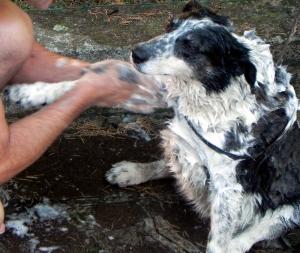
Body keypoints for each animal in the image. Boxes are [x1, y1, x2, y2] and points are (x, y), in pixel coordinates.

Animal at [3, 1, 300, 251]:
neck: (210, 93)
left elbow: (219, 240)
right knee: (169, 163)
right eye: (170, 26)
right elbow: (82, 81)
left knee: (260, 229)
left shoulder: (228, 186)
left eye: (190, 46)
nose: (136, 53)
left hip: (289, 205)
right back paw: (131, 171)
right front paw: (29, 92)